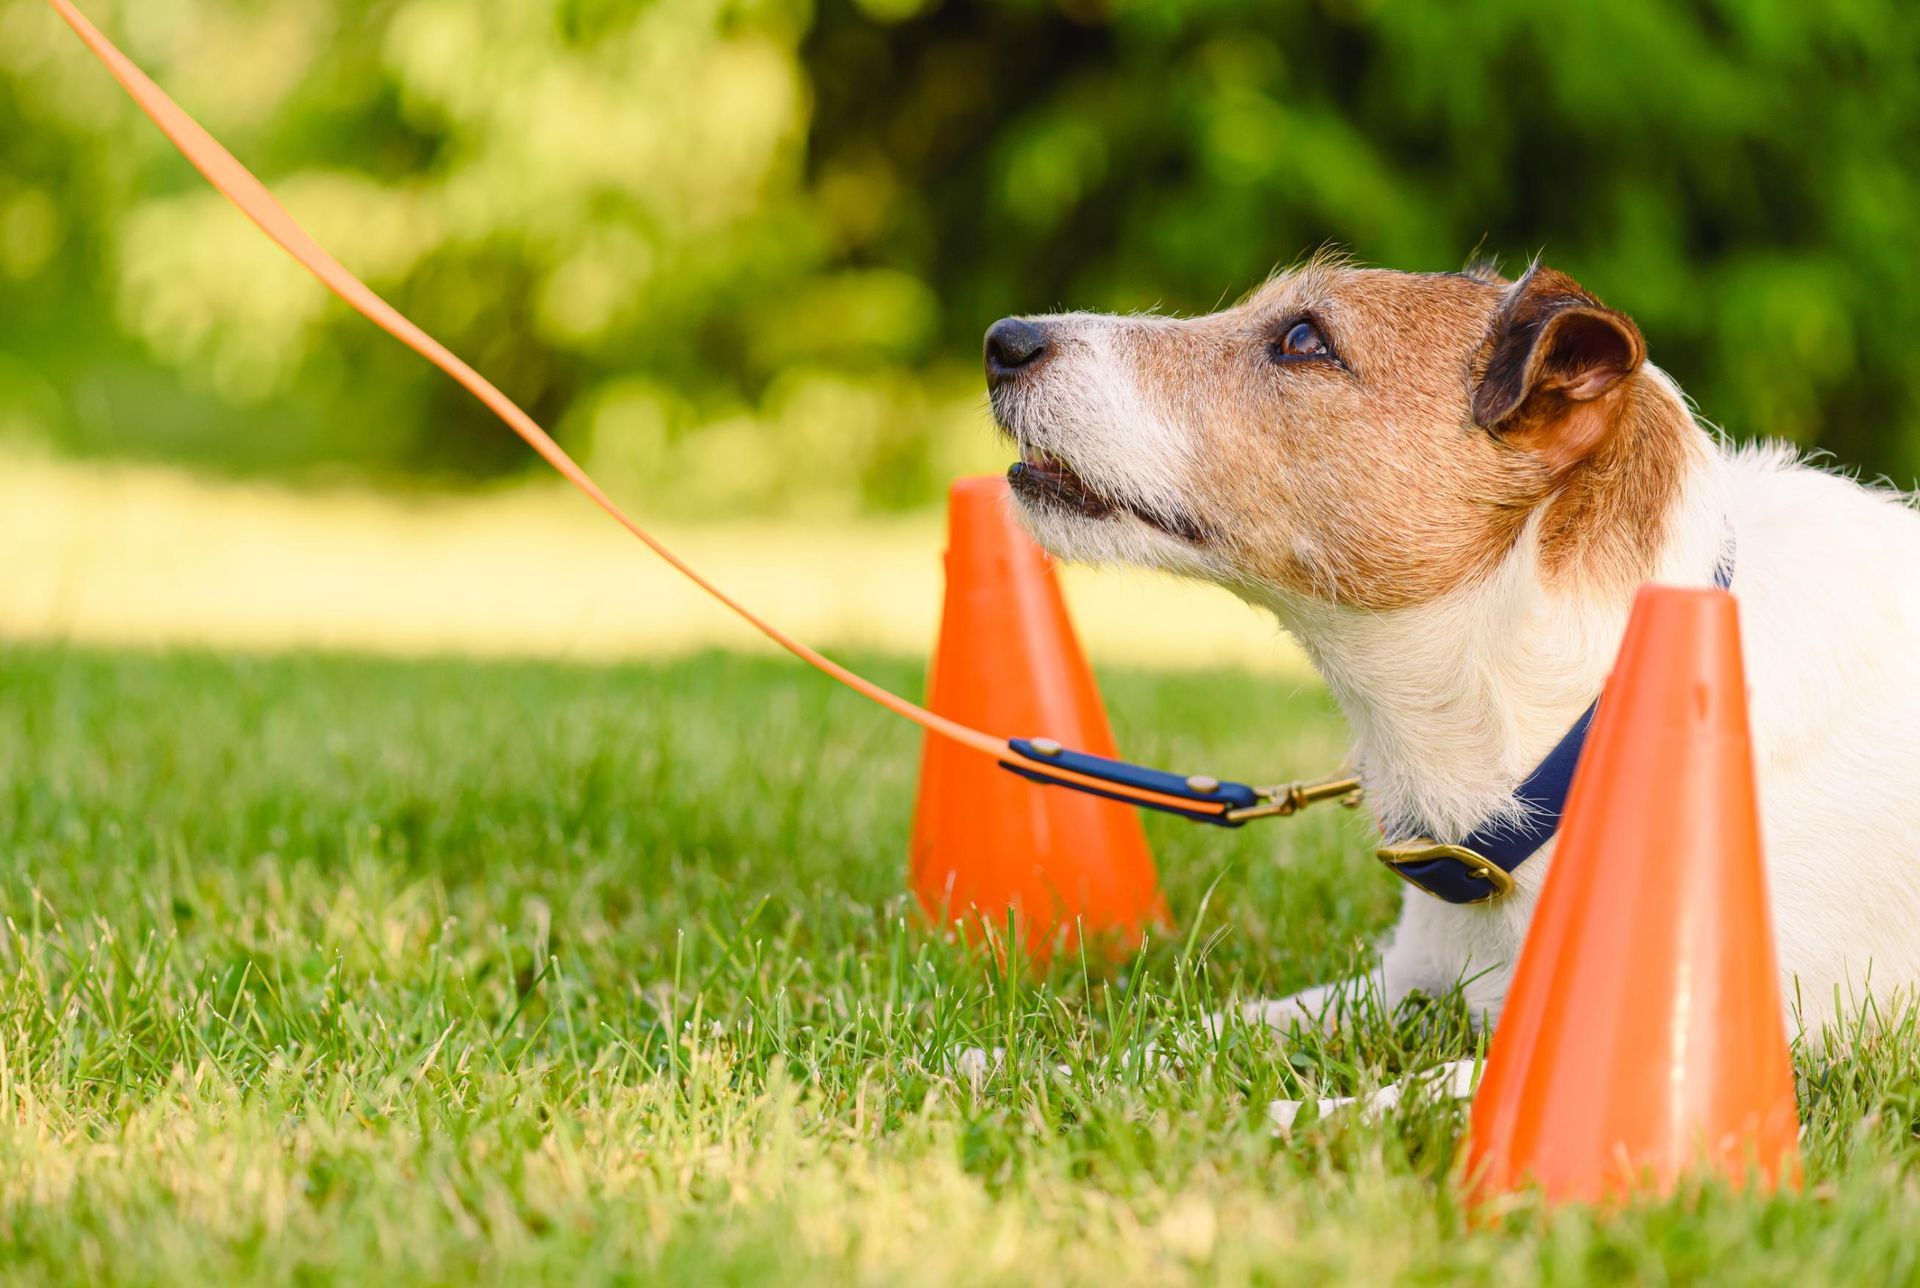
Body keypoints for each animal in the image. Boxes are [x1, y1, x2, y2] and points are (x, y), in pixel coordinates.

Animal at [983, 255, 1920, 1059]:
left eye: (1303, 338)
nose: (1004, 339)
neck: (1569, 710)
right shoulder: (1397, 982)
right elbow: (1182, 1043)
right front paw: (998, 1066)